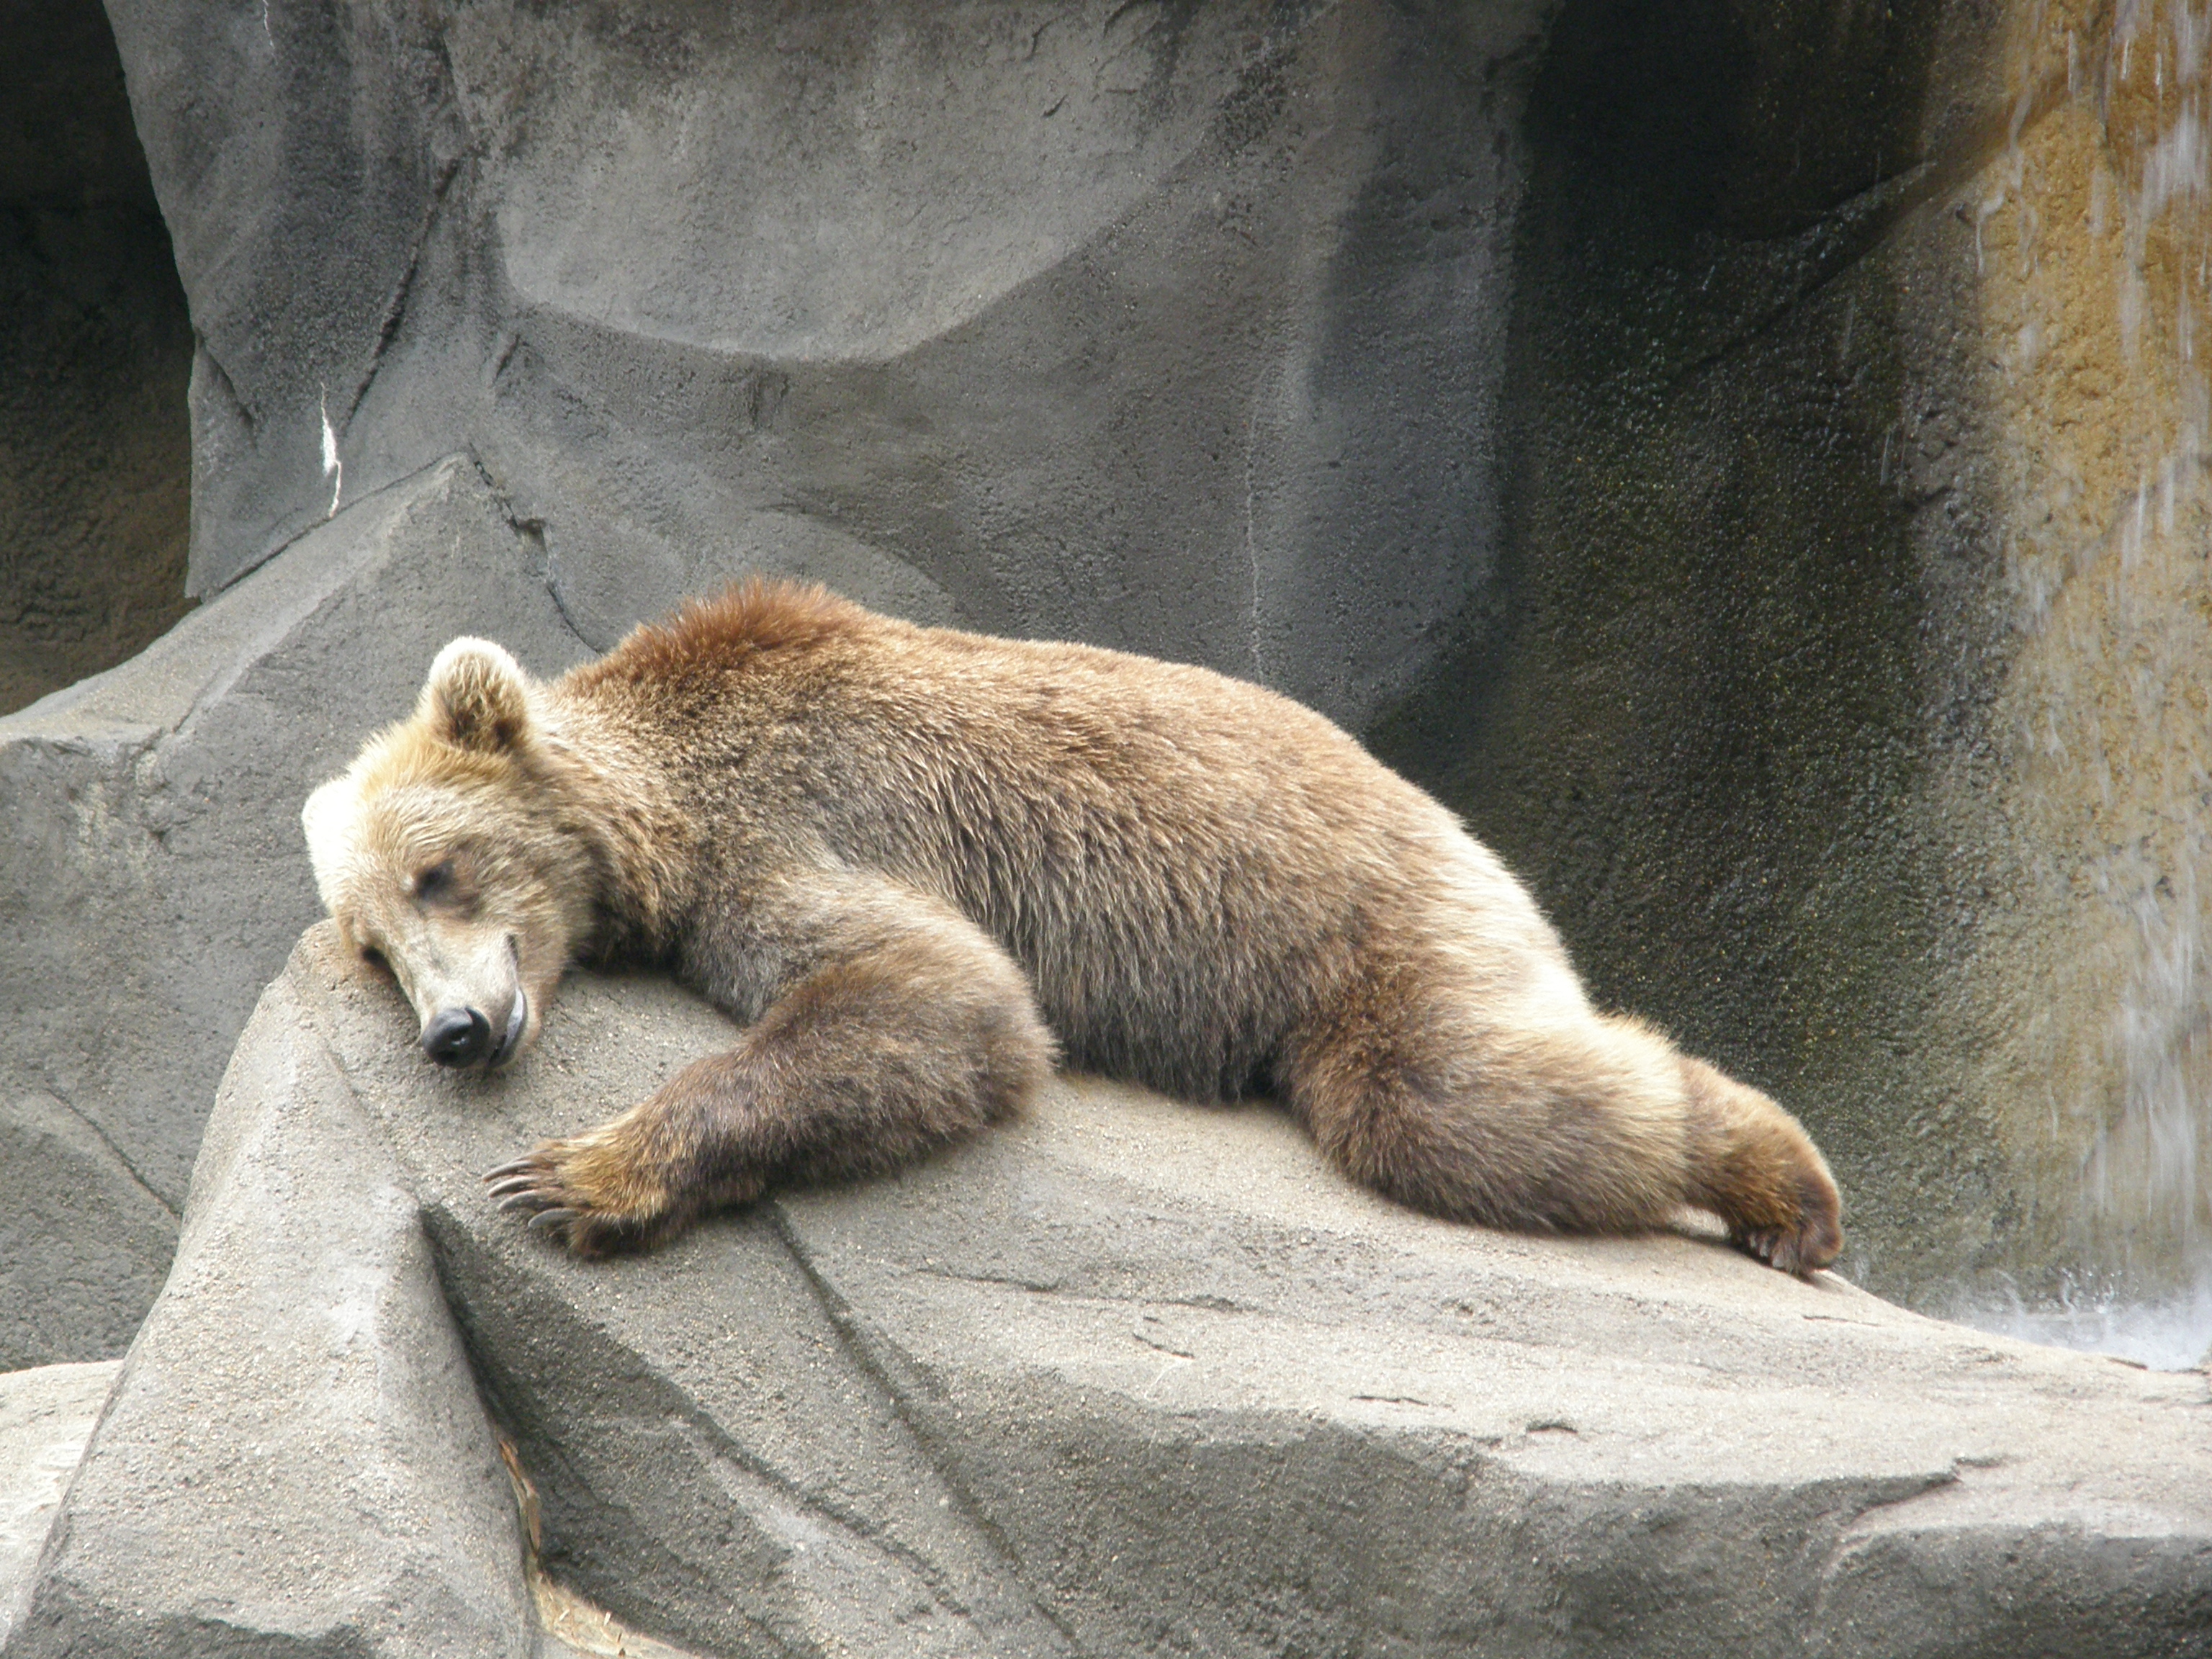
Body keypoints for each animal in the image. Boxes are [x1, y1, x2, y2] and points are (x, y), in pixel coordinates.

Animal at [302, 580, 1843, 1275]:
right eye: (374, 946)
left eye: (438, 871)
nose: (454, 1030)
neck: (659, 814)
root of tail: (1466, 827)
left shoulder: (793, 821)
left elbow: (937, 995)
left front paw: (573, 1171)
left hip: (1364, 919)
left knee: (1446, 1093)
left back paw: (1784, 1183)